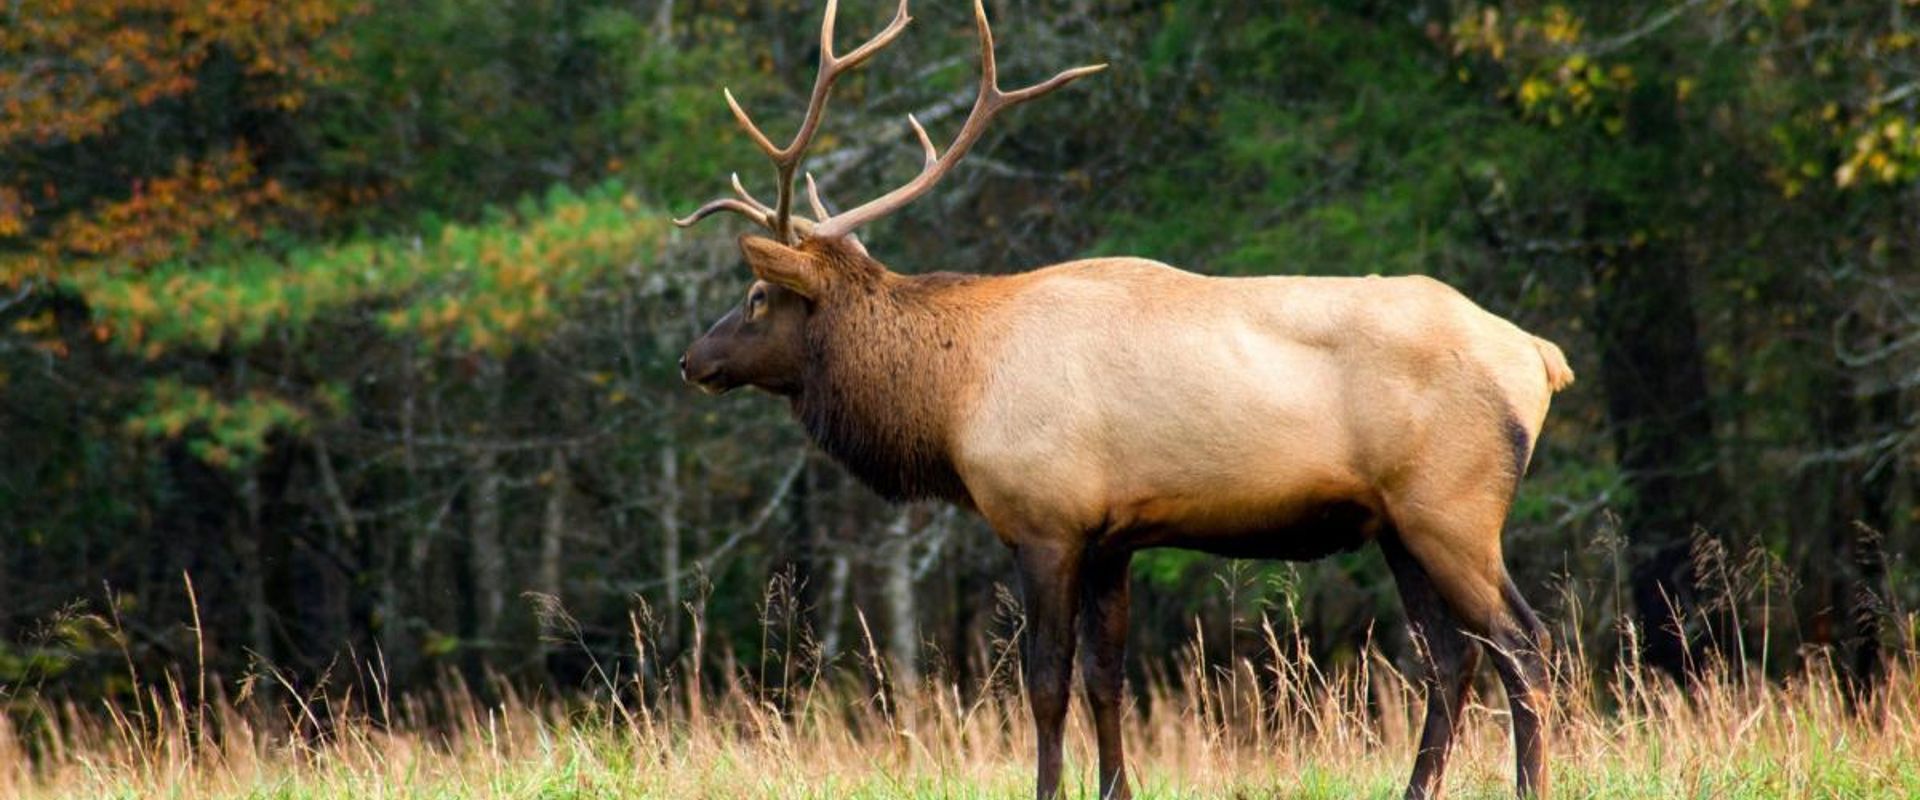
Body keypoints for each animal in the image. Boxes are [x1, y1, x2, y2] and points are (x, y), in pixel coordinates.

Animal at [672, 2, 1573, 798]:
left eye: (757, 297)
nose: (691, 360)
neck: (953, 399)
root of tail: (1540, 357)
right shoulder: (1113, 536)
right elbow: (1108, 679)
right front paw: (1115, 789)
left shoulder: (1045, 521)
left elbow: (1046, 684)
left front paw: (1050, 789)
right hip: (1397, 525)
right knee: (1451, 659)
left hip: (1453, 509)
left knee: (1524, 646)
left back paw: (1529, 785)